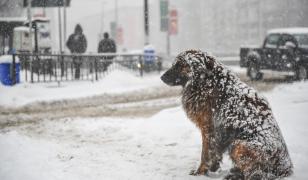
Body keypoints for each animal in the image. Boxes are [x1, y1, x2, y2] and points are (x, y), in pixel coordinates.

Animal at [161, 49, 294, 180]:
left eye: (180, 65)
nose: (162, 77)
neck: (207, 81)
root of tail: (286, 168)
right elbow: (215, 154)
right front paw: (213, 169)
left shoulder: (209, 129)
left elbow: (206, 154)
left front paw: (200, 172)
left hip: (239, 145)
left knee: (256, 174)